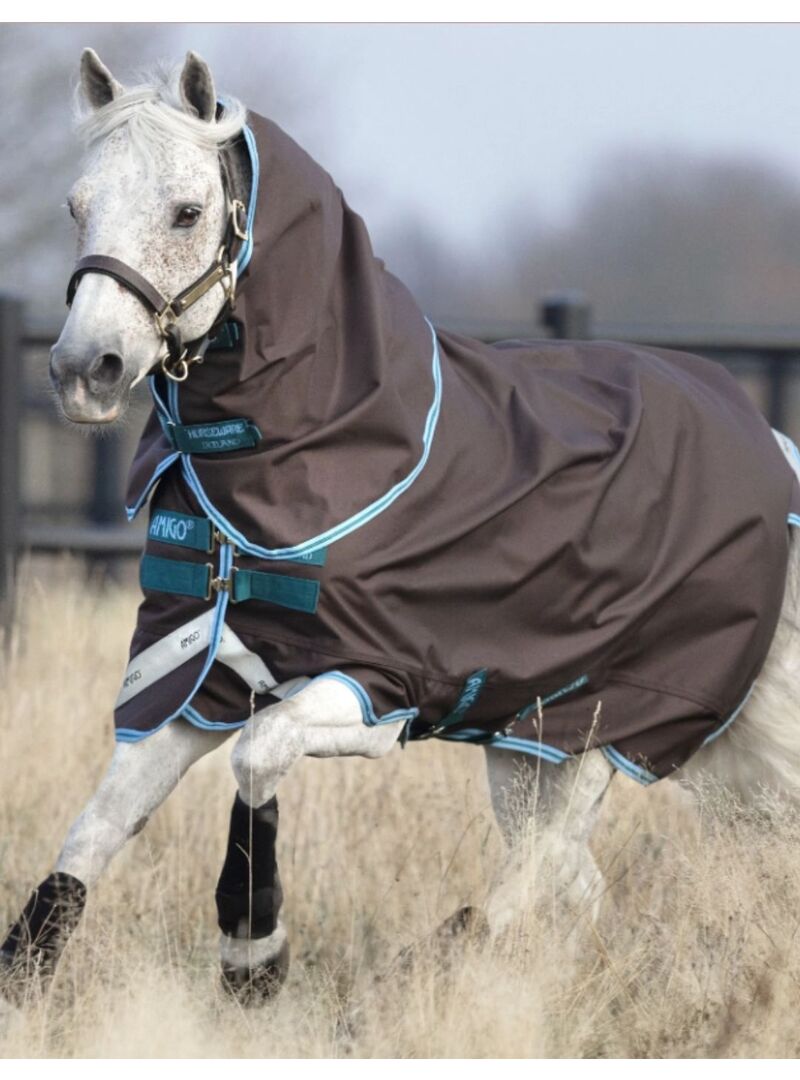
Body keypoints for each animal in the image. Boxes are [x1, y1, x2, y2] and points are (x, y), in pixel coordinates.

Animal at [4, 47, 800, 1012]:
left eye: (186, 211)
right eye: (75, 206)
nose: (85, 369)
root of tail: (771, 445)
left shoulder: (375, 688)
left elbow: (259, 756)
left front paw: (254, 954)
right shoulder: (195, 678)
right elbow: (97, 827)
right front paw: (29, 972)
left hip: (613, 729)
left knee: (537, 873)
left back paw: (445, 956)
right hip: (533, 744)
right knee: (573, 878)